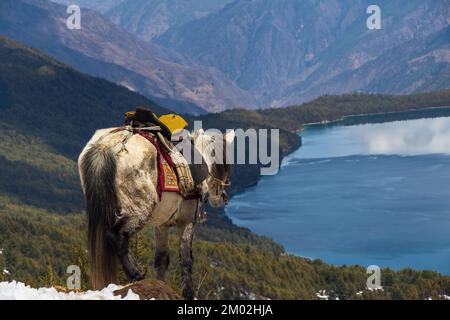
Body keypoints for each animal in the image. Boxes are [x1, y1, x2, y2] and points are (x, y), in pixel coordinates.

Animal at [78, 127, 234, 300]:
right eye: (227, 163)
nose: (221, 196)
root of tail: (108, 146)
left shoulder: (162, 225)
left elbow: (162, 259)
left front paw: (161, 284)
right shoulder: (187, 222)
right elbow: (186, 259)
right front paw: (188, 293)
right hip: (139, 209)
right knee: (116, 235)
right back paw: (137, 273)